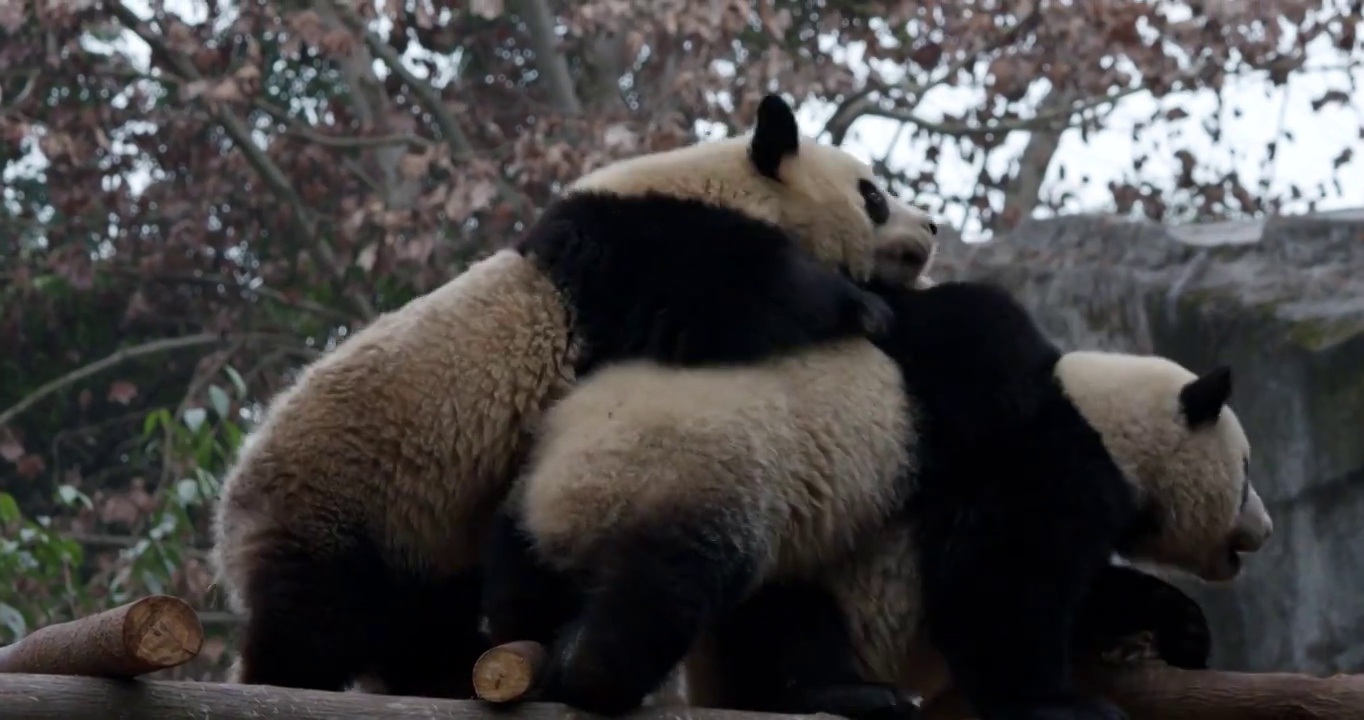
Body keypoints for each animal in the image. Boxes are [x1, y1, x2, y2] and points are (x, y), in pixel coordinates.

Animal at [210, 91, 938, 698]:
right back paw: (283, 674)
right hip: (336, 501)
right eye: (873, 194)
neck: (716, 180)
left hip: (426, 541)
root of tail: (229, 508)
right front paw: (863, 307)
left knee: (421, 629)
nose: (930, 227)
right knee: (313, 621)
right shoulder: (637, 250)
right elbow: (737, 293)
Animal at [485, 256, 1271, 714]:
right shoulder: (1043, 457)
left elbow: (1086, 594)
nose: (1263, 531)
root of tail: (568, 480)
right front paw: (1057, 701)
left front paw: (1182, 630)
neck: (1100, 416)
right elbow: (1000, 586)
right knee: (682, 580)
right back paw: (595, 670)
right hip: (700, 470)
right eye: (1245, 473)